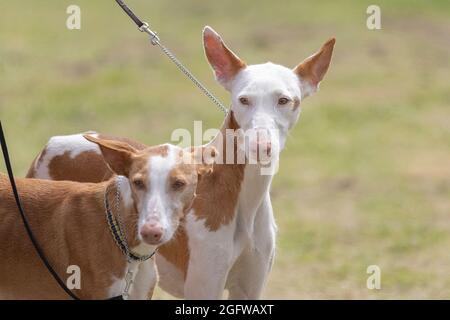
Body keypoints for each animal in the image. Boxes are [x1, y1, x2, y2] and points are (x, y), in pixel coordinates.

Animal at [25, 26, 334, 298]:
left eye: (285, 100)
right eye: (243, 100)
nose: (261, 146)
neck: (241, 195)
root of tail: (52, 142)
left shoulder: (249, 288)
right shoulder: (204, 286)